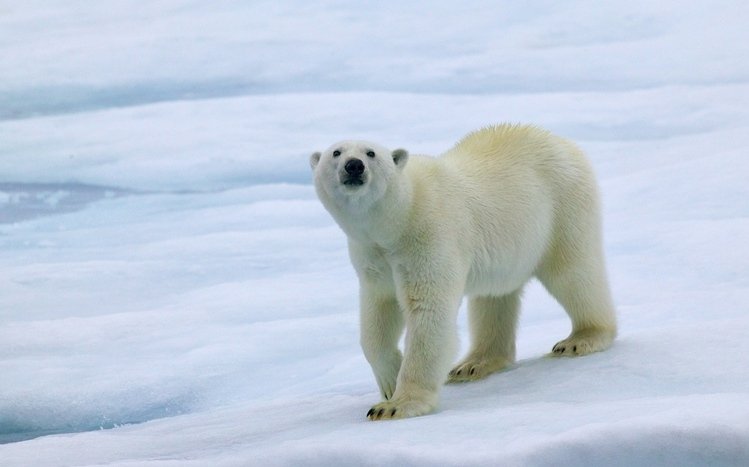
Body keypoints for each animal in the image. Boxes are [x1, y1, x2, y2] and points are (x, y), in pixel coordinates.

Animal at [309, 124, 616, 420]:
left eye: (371, 153)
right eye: (336, 152)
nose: (354, 165)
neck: (398, 218)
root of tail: (561, 141)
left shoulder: (428, 237)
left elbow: (428, 312)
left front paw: (395, 406)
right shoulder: (372, 254)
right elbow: (379, 312)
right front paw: (389, 380)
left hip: (562, 208)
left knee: (573, 274)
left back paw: (582, 338)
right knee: (493, 297)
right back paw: (473, 364)